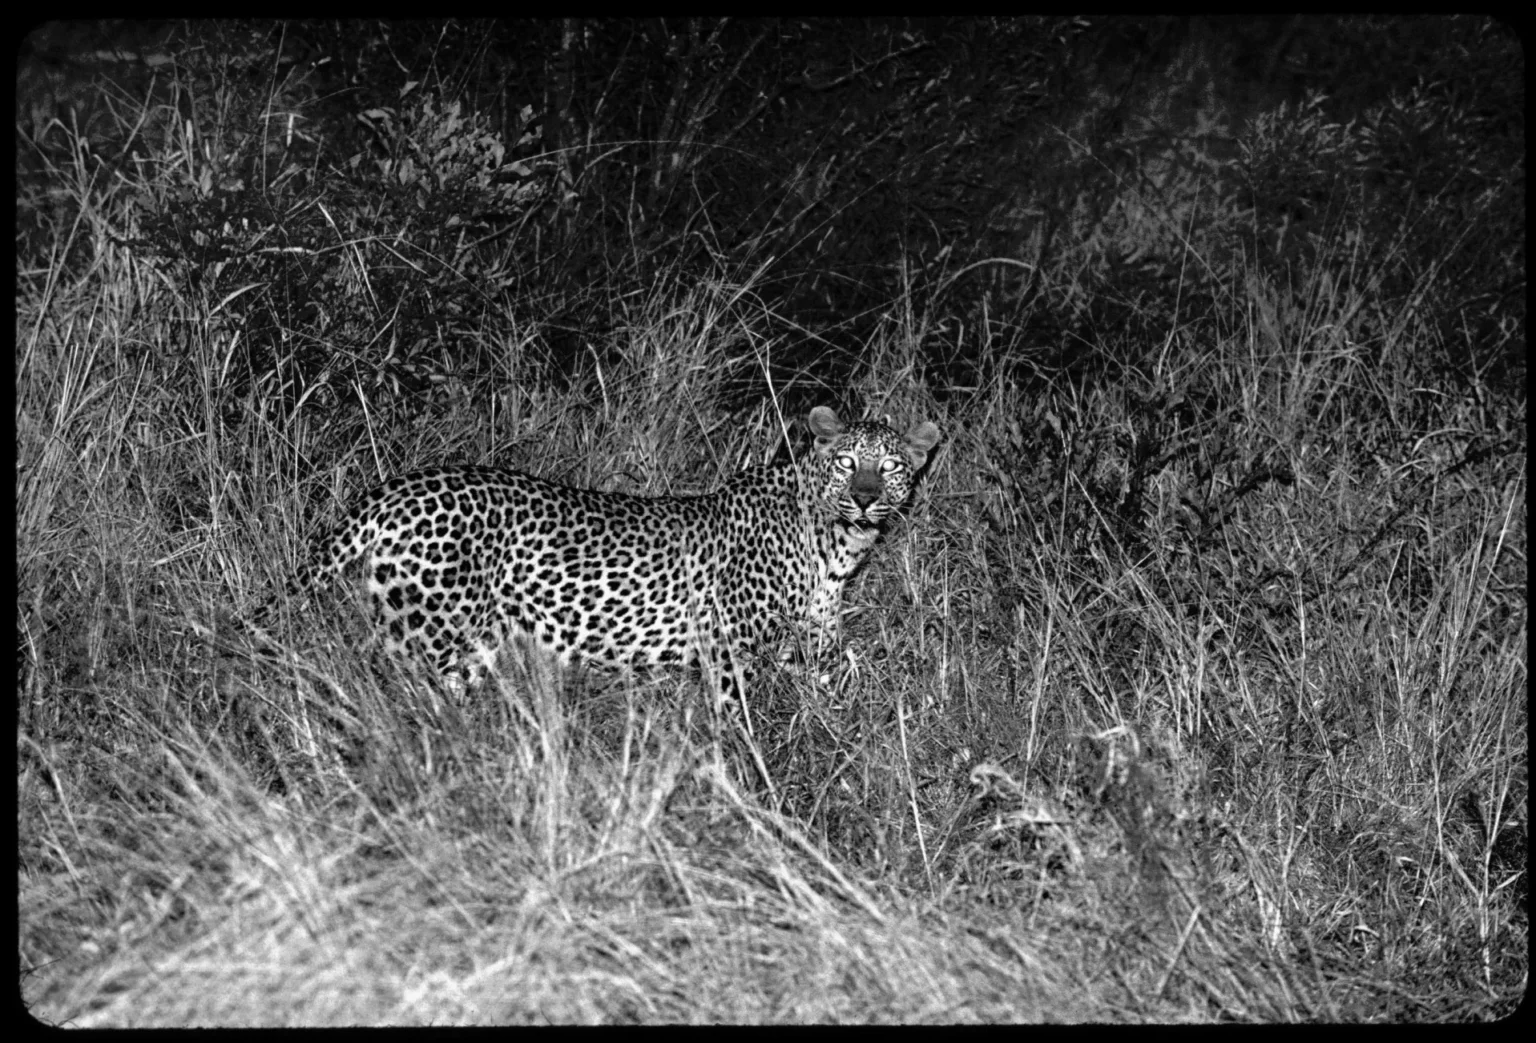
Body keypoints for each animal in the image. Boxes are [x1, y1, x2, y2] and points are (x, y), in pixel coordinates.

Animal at [282, 406, 940, 695]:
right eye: (847, 463)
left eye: (890, 467)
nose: (863, 499)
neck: (837, 545)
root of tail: (397, 487)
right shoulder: (729, 649)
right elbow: (741, 724)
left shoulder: (810, 649)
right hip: (426, 630)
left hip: (465, 642)